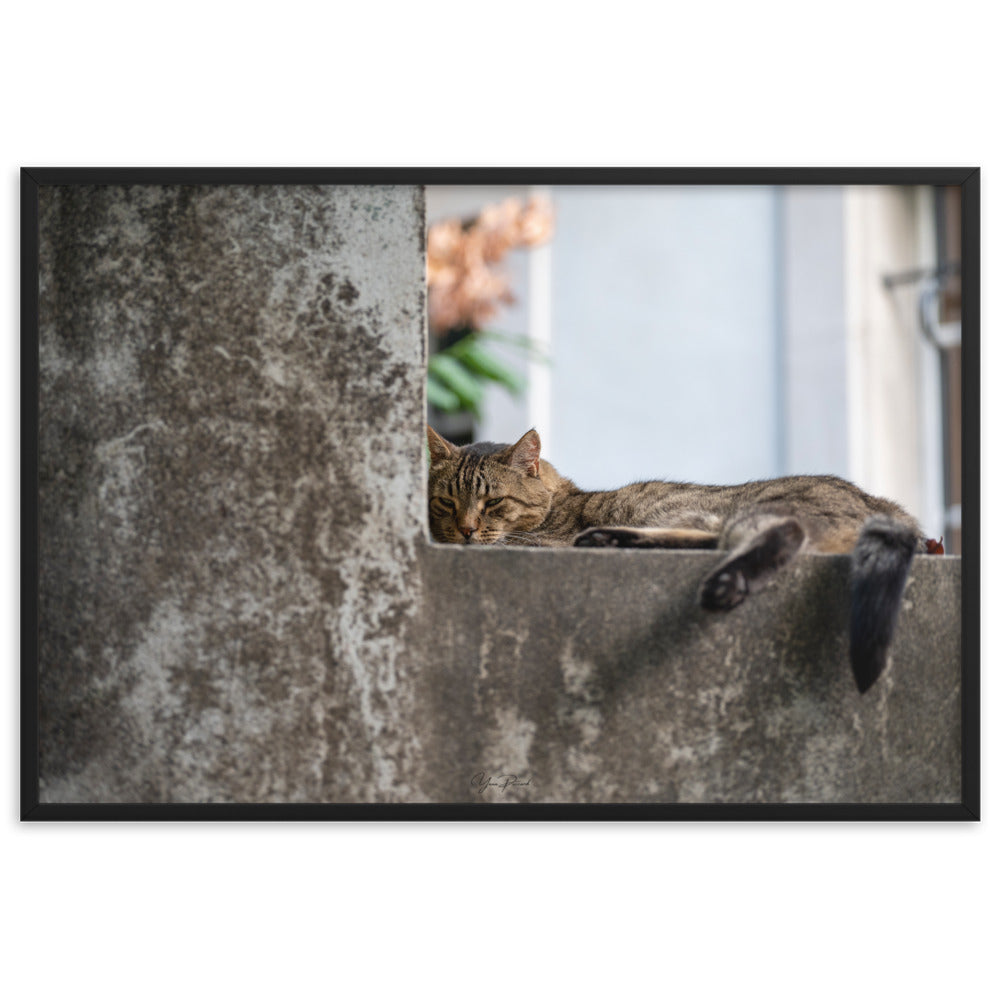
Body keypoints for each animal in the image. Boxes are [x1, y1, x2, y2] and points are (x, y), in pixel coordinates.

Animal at [426, 424, 924, 696]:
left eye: (493, 503)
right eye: (446, 503)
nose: (465, 530)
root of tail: (882, 505)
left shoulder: (541, 542)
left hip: (760, 510)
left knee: (783, 535)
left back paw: (724, 583)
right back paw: (611, 540)